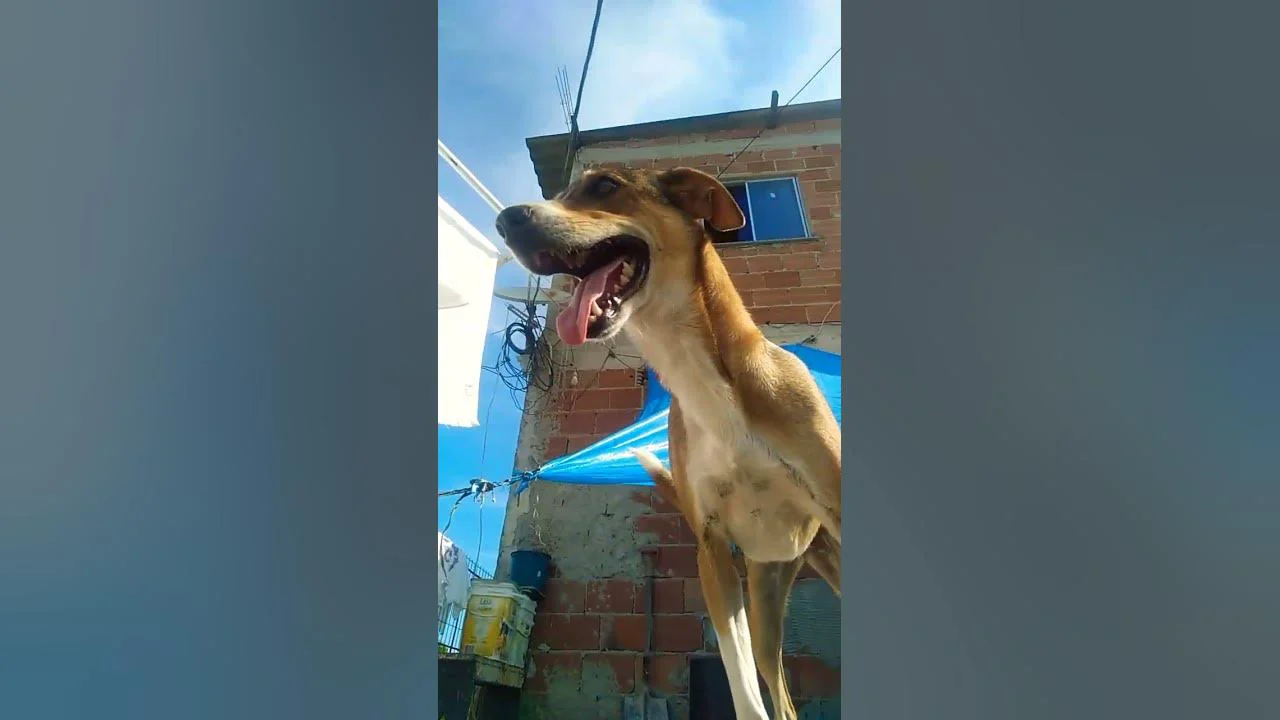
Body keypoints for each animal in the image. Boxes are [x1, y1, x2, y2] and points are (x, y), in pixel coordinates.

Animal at [497, 166, 841, 720]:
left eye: (605, 186)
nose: (505, 220)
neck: (701, 378)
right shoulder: (712, 551)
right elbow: (745, 692)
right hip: (765, 598)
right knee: (779, 694)